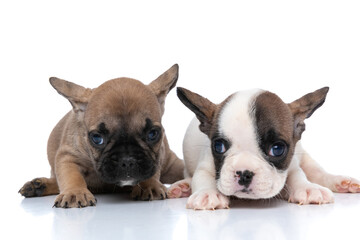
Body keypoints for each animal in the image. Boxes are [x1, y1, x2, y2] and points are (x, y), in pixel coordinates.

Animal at [18, 64, 184, 208]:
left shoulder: (158, 153)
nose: (127, 160)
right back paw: (38, 186)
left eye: (152, 134)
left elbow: (153, 169)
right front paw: (74, 193)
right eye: (97, 138)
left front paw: (150, 185)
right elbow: (71, 175)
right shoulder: (68, 156)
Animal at [169, 87, 360, 209]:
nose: (244, 173)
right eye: (218, 146)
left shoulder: (292, 165)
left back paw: (340, 182)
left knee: (318, 172)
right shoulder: (205, 164)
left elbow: (298, 176)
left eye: (277, 149)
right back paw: (183, 186)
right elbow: (202, 178)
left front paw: (308, 188)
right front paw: (207, 193)